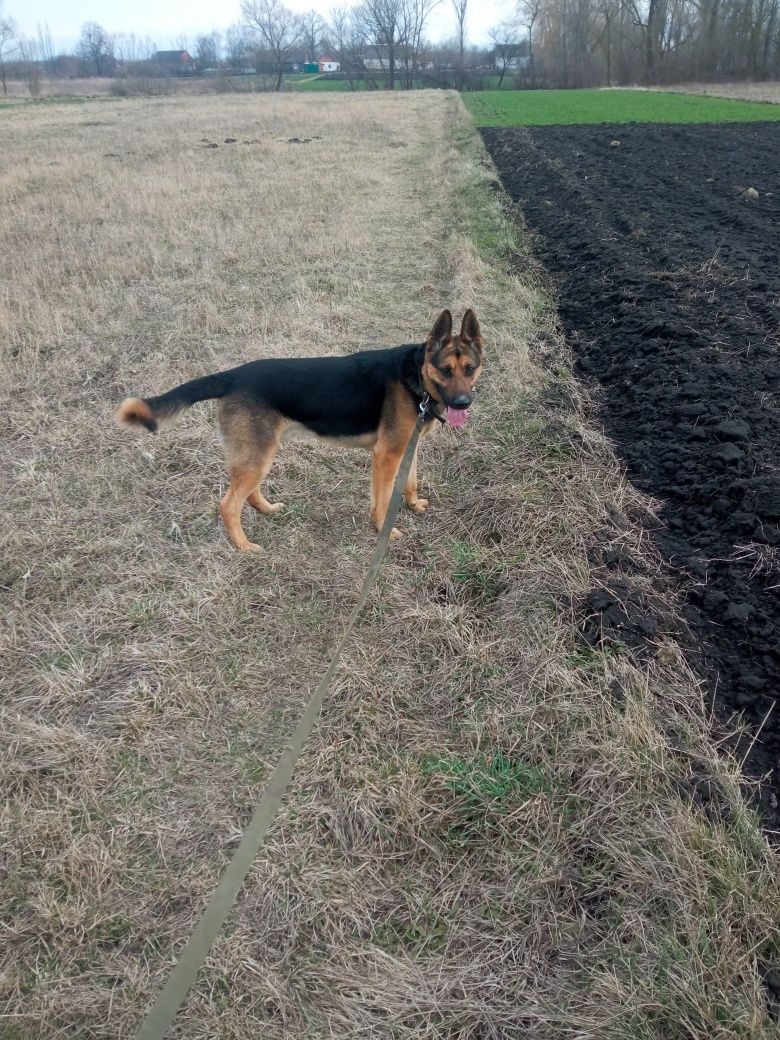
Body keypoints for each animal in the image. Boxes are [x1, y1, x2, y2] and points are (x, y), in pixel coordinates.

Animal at [115, 307, 482, 553]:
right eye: (445, 370)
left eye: (470, 369)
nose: (463, 403)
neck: (416, 376)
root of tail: (231, 376)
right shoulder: (386, 457)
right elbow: (381, 501)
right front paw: (384, 531)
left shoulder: (408, 447)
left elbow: (411, 480)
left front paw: (413, 504)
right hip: (258, 455)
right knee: (229, 505)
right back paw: (244, 546)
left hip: (258, 453)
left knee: (247, 493)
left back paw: (266, 510)